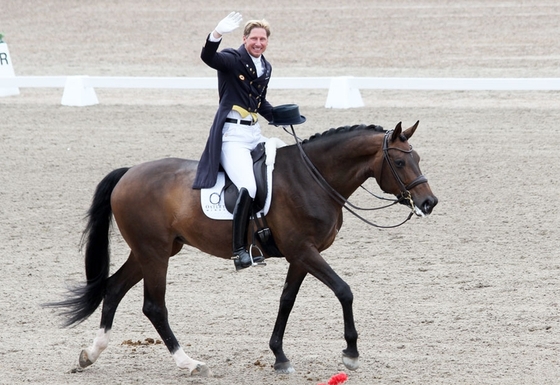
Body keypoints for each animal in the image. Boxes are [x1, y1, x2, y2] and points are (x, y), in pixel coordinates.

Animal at [50, 121, 438, 376]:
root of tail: (129, 173)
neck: (312, 178)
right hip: (155, 253)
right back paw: (188, 363)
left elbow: (286, 300)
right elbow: (344, 291)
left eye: (418, 158)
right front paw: (351, 352)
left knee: (114, 289)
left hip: (152, 251)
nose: (429, 202)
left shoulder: (301, 255)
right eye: (400, 162)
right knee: (153, 307)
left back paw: (90, 355)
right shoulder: (304, 251)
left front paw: (279, 356)